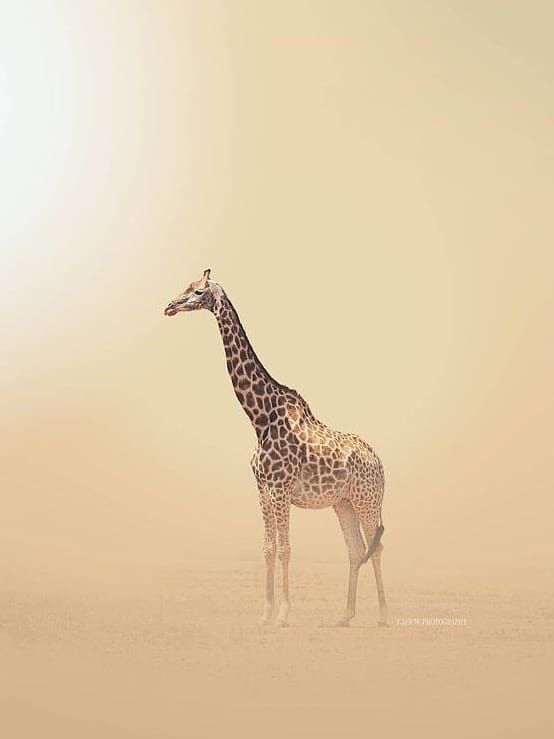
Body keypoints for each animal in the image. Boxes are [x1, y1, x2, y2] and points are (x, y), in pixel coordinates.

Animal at [165, 269, 388, 627]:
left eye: (198, 291)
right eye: (187, 286)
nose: (169, 306)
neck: (260, 418)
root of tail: (380, 462)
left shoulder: (281, 489)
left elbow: (285, 549)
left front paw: (283, 614)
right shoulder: (263, 489)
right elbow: (268, 549)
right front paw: (265, 614)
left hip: (367, 500)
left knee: (375, 547)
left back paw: (382, 616)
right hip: (344, 503)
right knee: (356, 550)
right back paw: (344, 616)